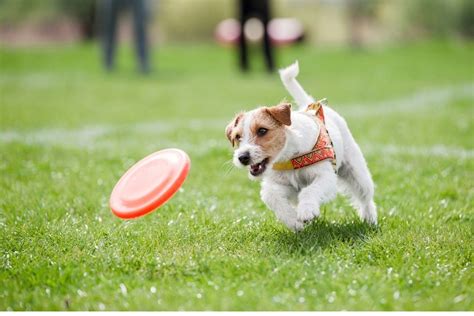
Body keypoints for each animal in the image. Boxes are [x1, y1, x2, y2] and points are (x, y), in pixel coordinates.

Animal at [226, 61, 378, 230]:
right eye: (237, 137)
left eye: (262, 130)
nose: (242, 157)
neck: (289, 157)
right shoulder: (282, 185)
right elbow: (271, 196)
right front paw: (293, 221)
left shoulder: (325, 177)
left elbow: (309, 190)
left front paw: (306, 211)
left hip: (357, 172)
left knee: (366, 197)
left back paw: (370, 219)